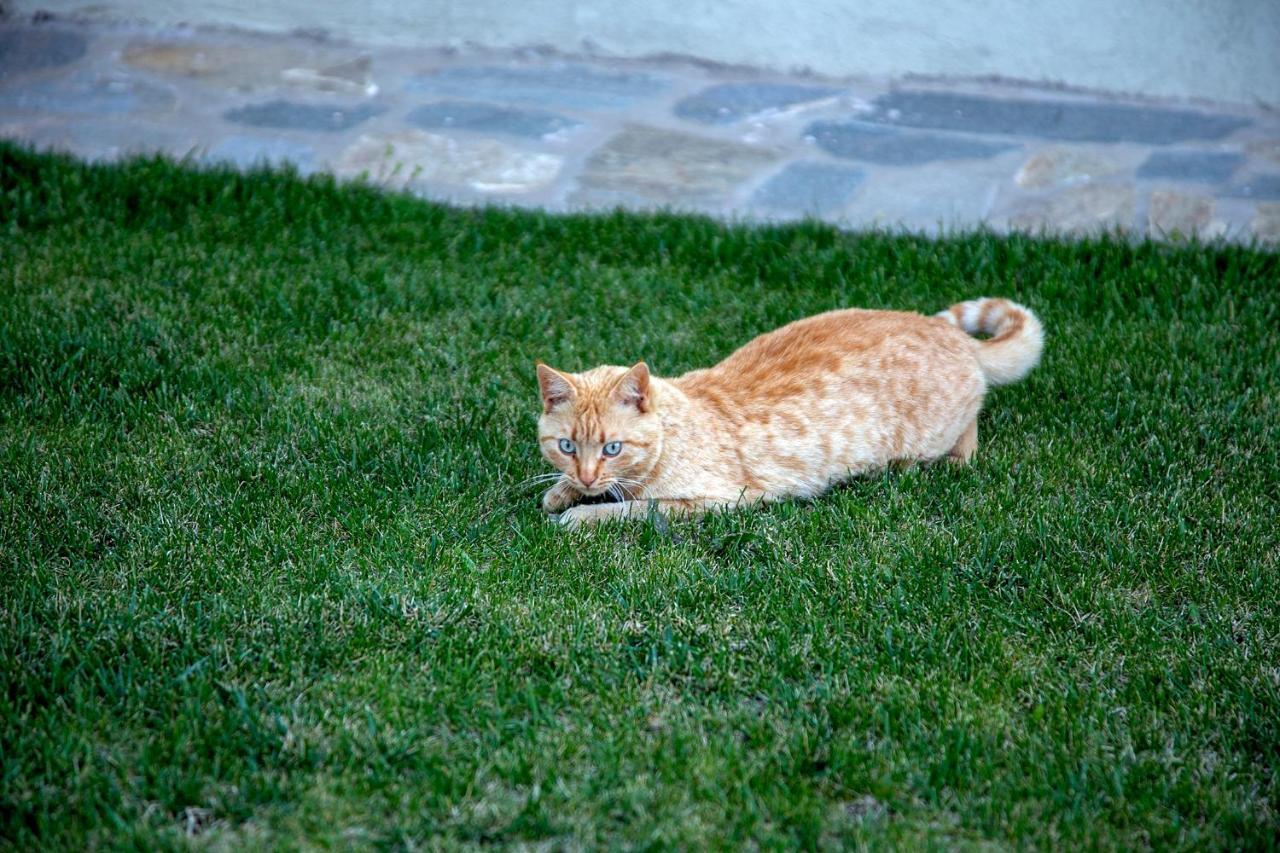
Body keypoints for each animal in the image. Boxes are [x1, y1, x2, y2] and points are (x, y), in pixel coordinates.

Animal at [535, 297, 1044, 525]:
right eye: (566, 447)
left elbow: (637, 509)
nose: (586, 477)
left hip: (930, 439)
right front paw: (561, 493)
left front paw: (583, 515)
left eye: (613, 448)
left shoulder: (722, 500)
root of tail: (950, 335)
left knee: (970, 422)